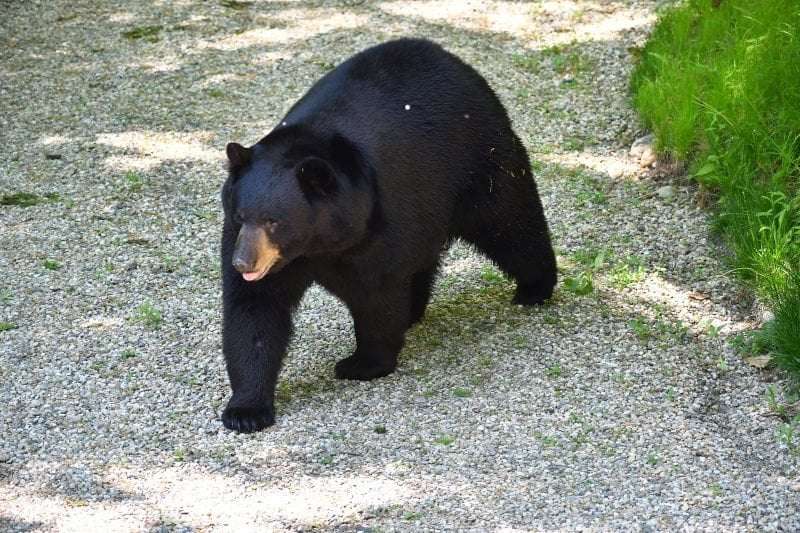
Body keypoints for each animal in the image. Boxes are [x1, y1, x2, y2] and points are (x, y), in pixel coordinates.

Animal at [220, 38, 557, 433]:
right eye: (241, 216)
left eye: (274, 220)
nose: (243, 262)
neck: (318, 242)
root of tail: (452, 59)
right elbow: (254, 309)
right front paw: (245, 409)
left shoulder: (376, 222)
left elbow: (377, 293)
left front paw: (363, 363)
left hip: (481, 162)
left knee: (511, 224)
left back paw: (535, 286)